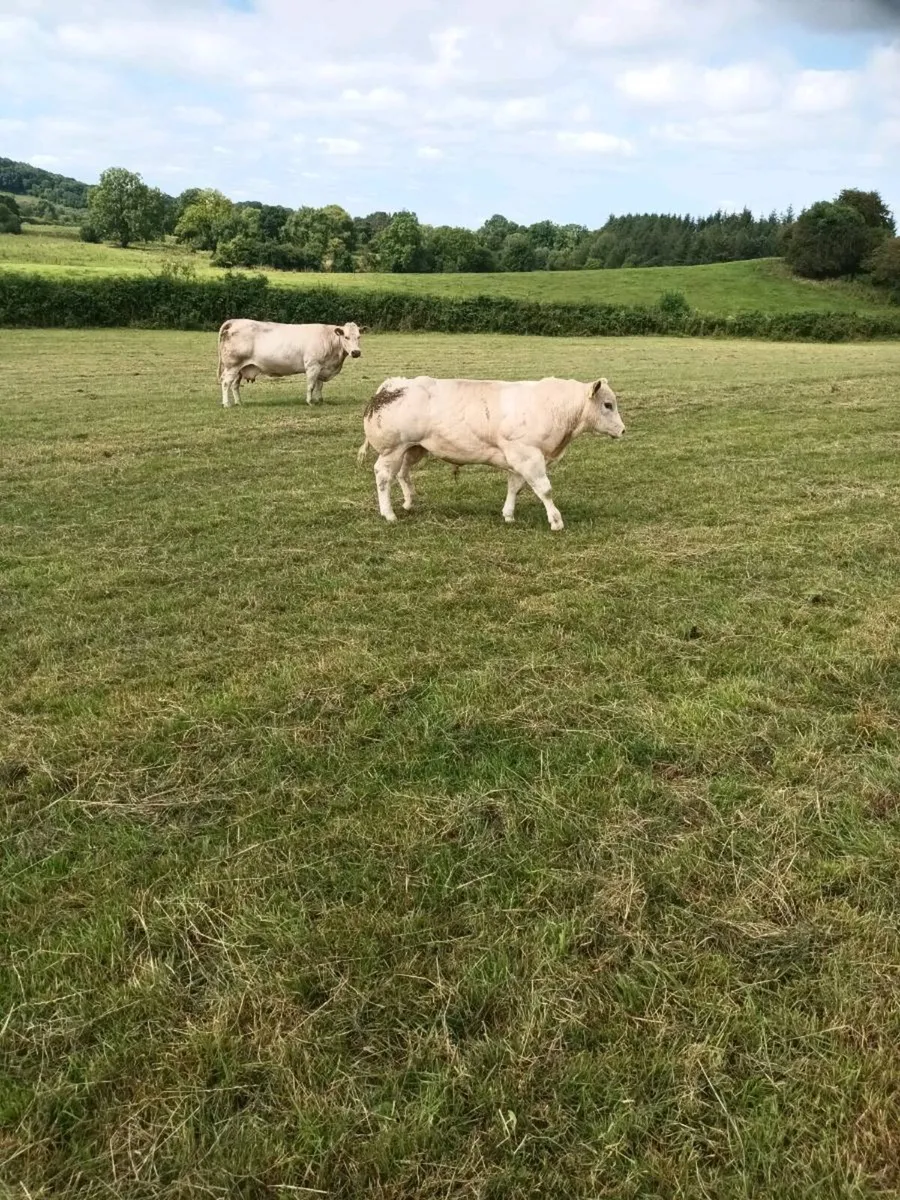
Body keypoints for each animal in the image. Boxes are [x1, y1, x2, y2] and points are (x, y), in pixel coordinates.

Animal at [217, 319, 364, 407]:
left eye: (359, 337)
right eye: (346, 337)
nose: (356, 352)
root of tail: (236, 321)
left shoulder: (321, 368)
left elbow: (319, 386)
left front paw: (319, 401)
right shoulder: (312, 366)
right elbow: (311, 386)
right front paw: (310, 402)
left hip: (240, 369)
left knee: (235, 385)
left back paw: (239, 402)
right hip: (232, 366)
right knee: (226, 383)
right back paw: (227, 404)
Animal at [357, 375, 625, 529]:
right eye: (607, 405)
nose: (622, 430)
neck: (552, 407)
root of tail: (392, 384)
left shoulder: (518, 459)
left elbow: (515, 487)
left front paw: (508, 514)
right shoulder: (528, 456)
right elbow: (545, 490)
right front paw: (556, 520)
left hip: (414, 448)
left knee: (402, 474)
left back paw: (409, 501)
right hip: (392, 449)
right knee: (383, 476)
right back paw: (388, 513)